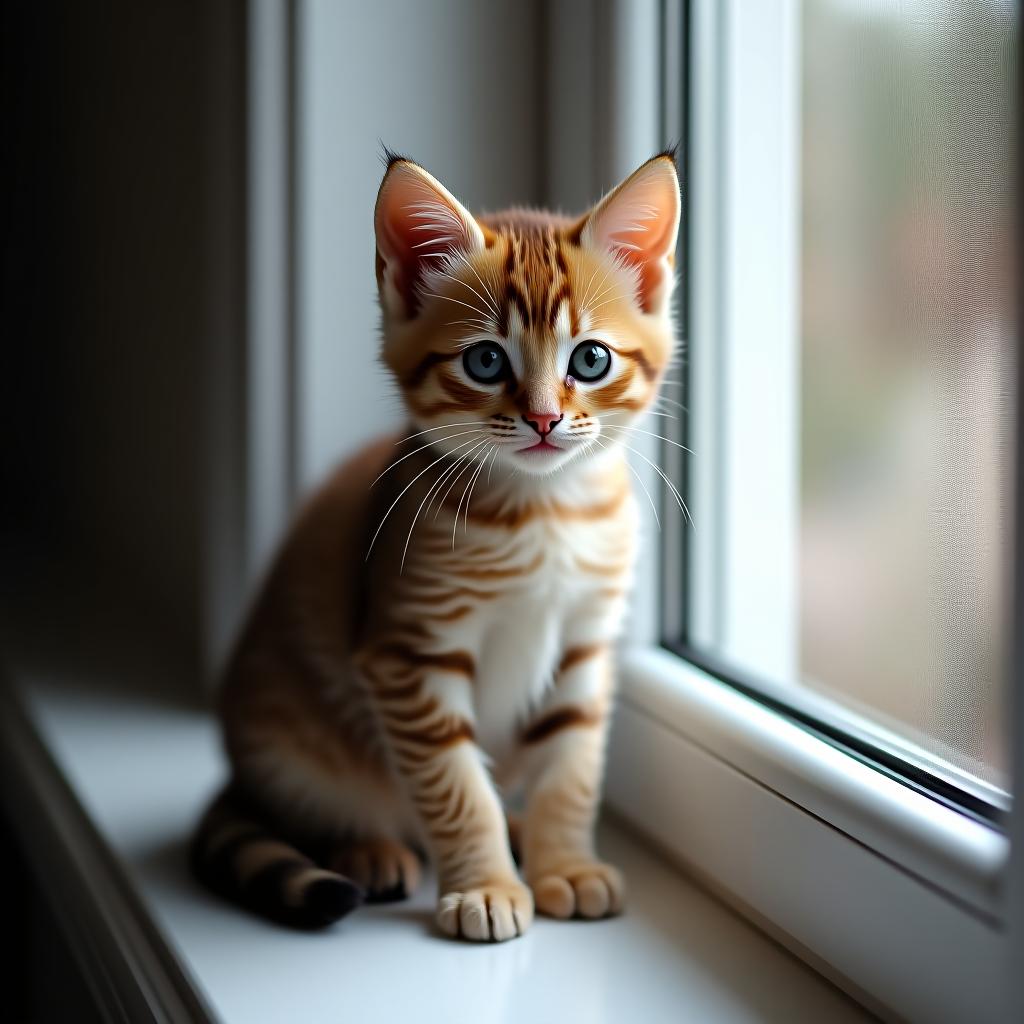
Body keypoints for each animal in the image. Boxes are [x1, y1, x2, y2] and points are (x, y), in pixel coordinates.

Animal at [192, 148, 679, 937]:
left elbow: (571, 769)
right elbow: (456, 787)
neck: (544, 514)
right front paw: (485, 886)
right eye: (485, 362)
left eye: (591, 360)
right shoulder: (407, 653)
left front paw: (565, 865)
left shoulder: (583, 646)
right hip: (285, 742)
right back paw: (370, 849)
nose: (544, 419)